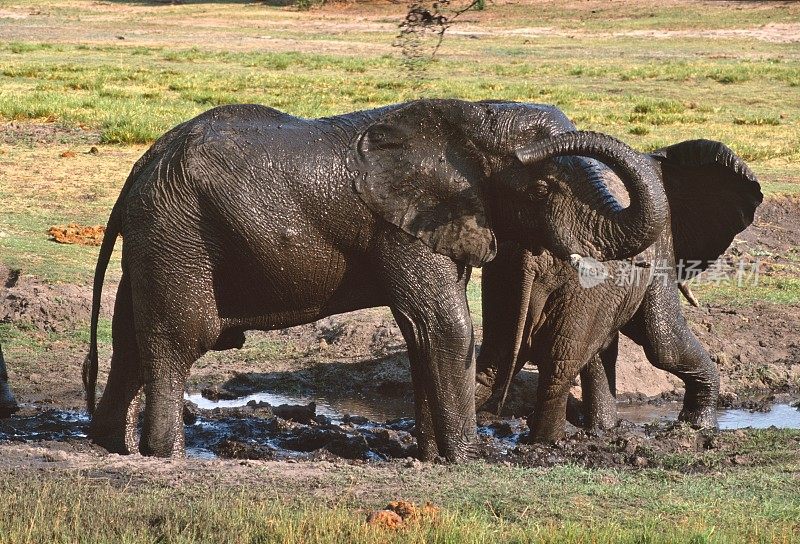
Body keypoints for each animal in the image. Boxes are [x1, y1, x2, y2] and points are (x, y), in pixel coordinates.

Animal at [476, 137, 764, 442]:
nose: (521, 155)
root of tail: (530, 258)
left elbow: (601, 347)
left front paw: (604, 428)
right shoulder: (661, 244)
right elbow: (663, 343)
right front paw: (699, 425)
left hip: (507, 275)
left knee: (501, 356)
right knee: (562, 361)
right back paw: (547, 441)